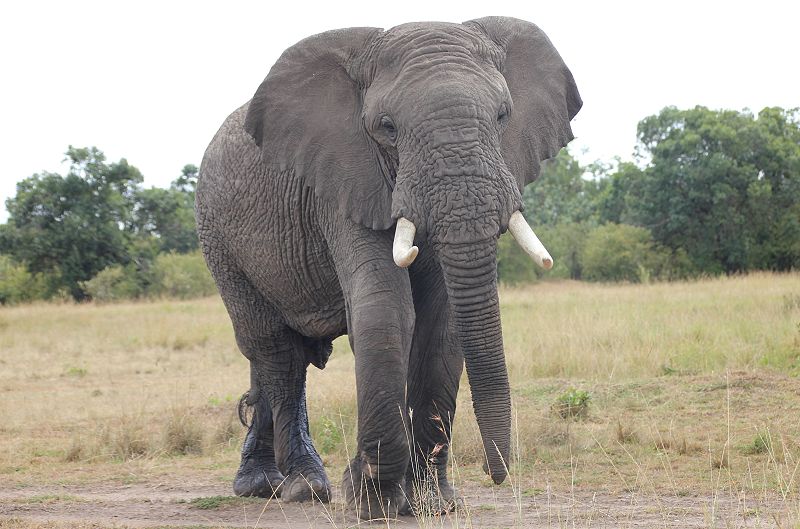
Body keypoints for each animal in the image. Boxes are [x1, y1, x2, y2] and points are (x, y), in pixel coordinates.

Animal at [196, 14, 580, 516]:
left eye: (503, 116)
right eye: (387, 127)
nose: (495, 473)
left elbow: (442, 324)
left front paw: (434, 503)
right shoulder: (343, 177)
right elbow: (386, 310)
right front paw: (371, 500)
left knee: (279, 354)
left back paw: (262, 485)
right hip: (218, 239)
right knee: (275, 351)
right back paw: (302, 487)